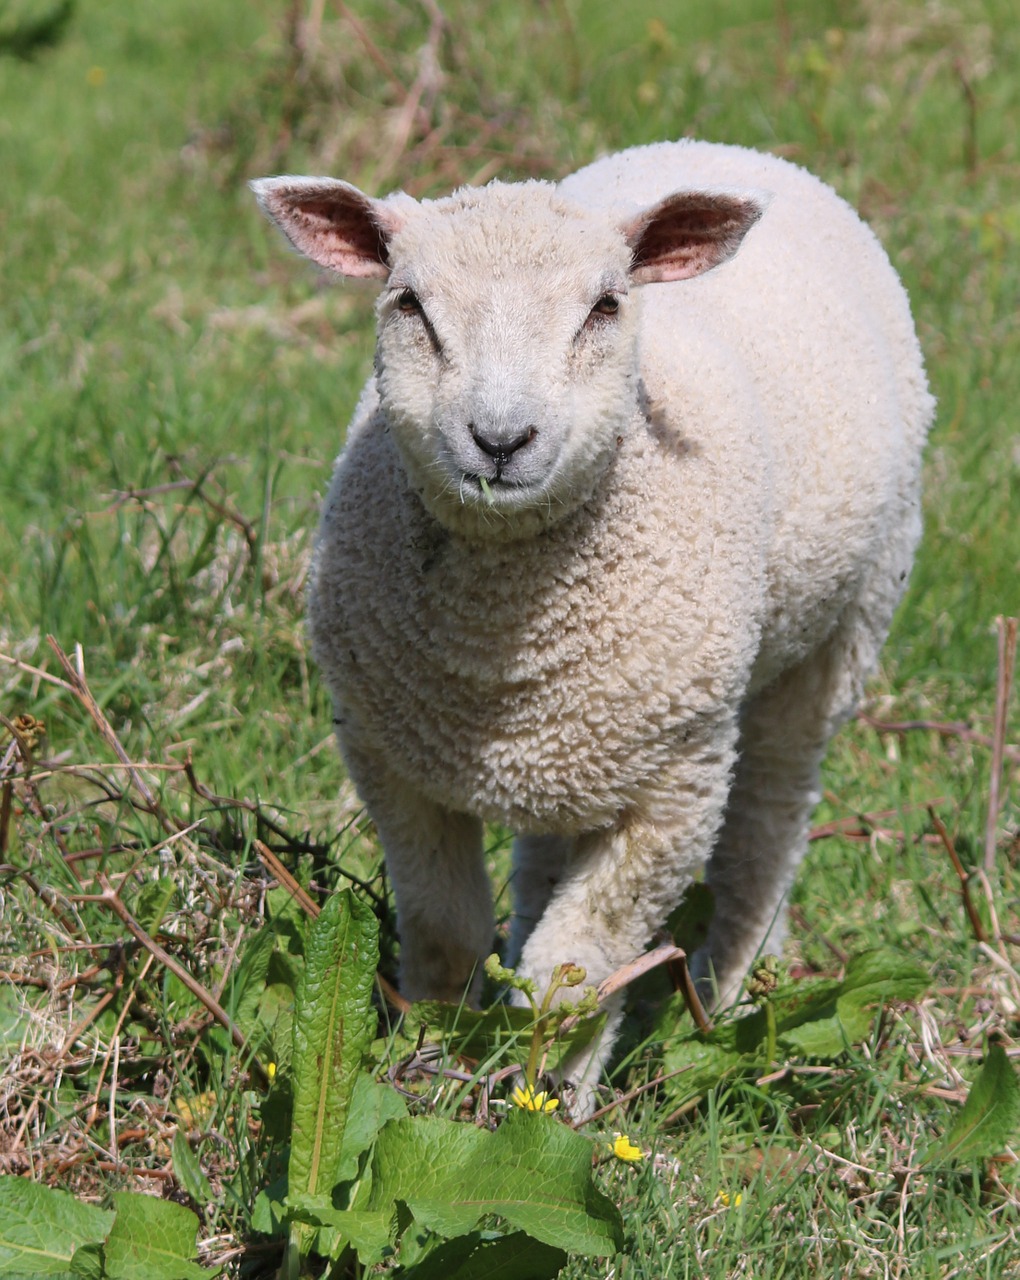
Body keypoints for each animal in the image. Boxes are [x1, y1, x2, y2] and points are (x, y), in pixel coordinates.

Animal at [250, 137, 936, 1100]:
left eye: (605, 306)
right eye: (409, 303)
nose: (501, 440)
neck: (501, 639)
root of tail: (721, 147)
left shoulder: (674, 786)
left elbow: (572, 973)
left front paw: (550, 1104)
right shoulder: (390, 756)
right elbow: (446, 933)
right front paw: (429, 1061)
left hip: (842, 628)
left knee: (770, 819)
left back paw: (728, 987)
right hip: (587, 739)